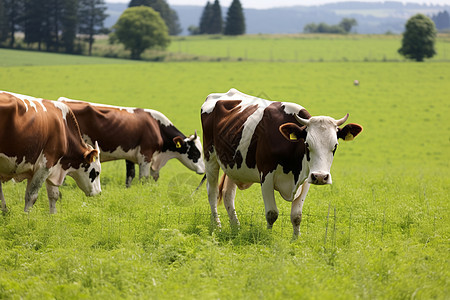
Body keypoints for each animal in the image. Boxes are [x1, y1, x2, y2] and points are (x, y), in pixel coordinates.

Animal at [58, 97, 206, 186]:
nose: (203, 170)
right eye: (195, 152)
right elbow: (144, 178)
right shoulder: (146, 156)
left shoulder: (130, 156)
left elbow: (130, 177)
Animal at [200, 88, 362, 239]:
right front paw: (268, 236)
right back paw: (218, 226)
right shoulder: (266, 175)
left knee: (228, 194)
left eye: (335, 146)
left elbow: (297, 216)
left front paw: (295, 240)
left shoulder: (306, 179)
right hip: (210, 157)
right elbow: (272, 213)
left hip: (233, 166)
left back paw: (236, 228)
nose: (321, 177)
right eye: (307, 144)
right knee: (212, 192)